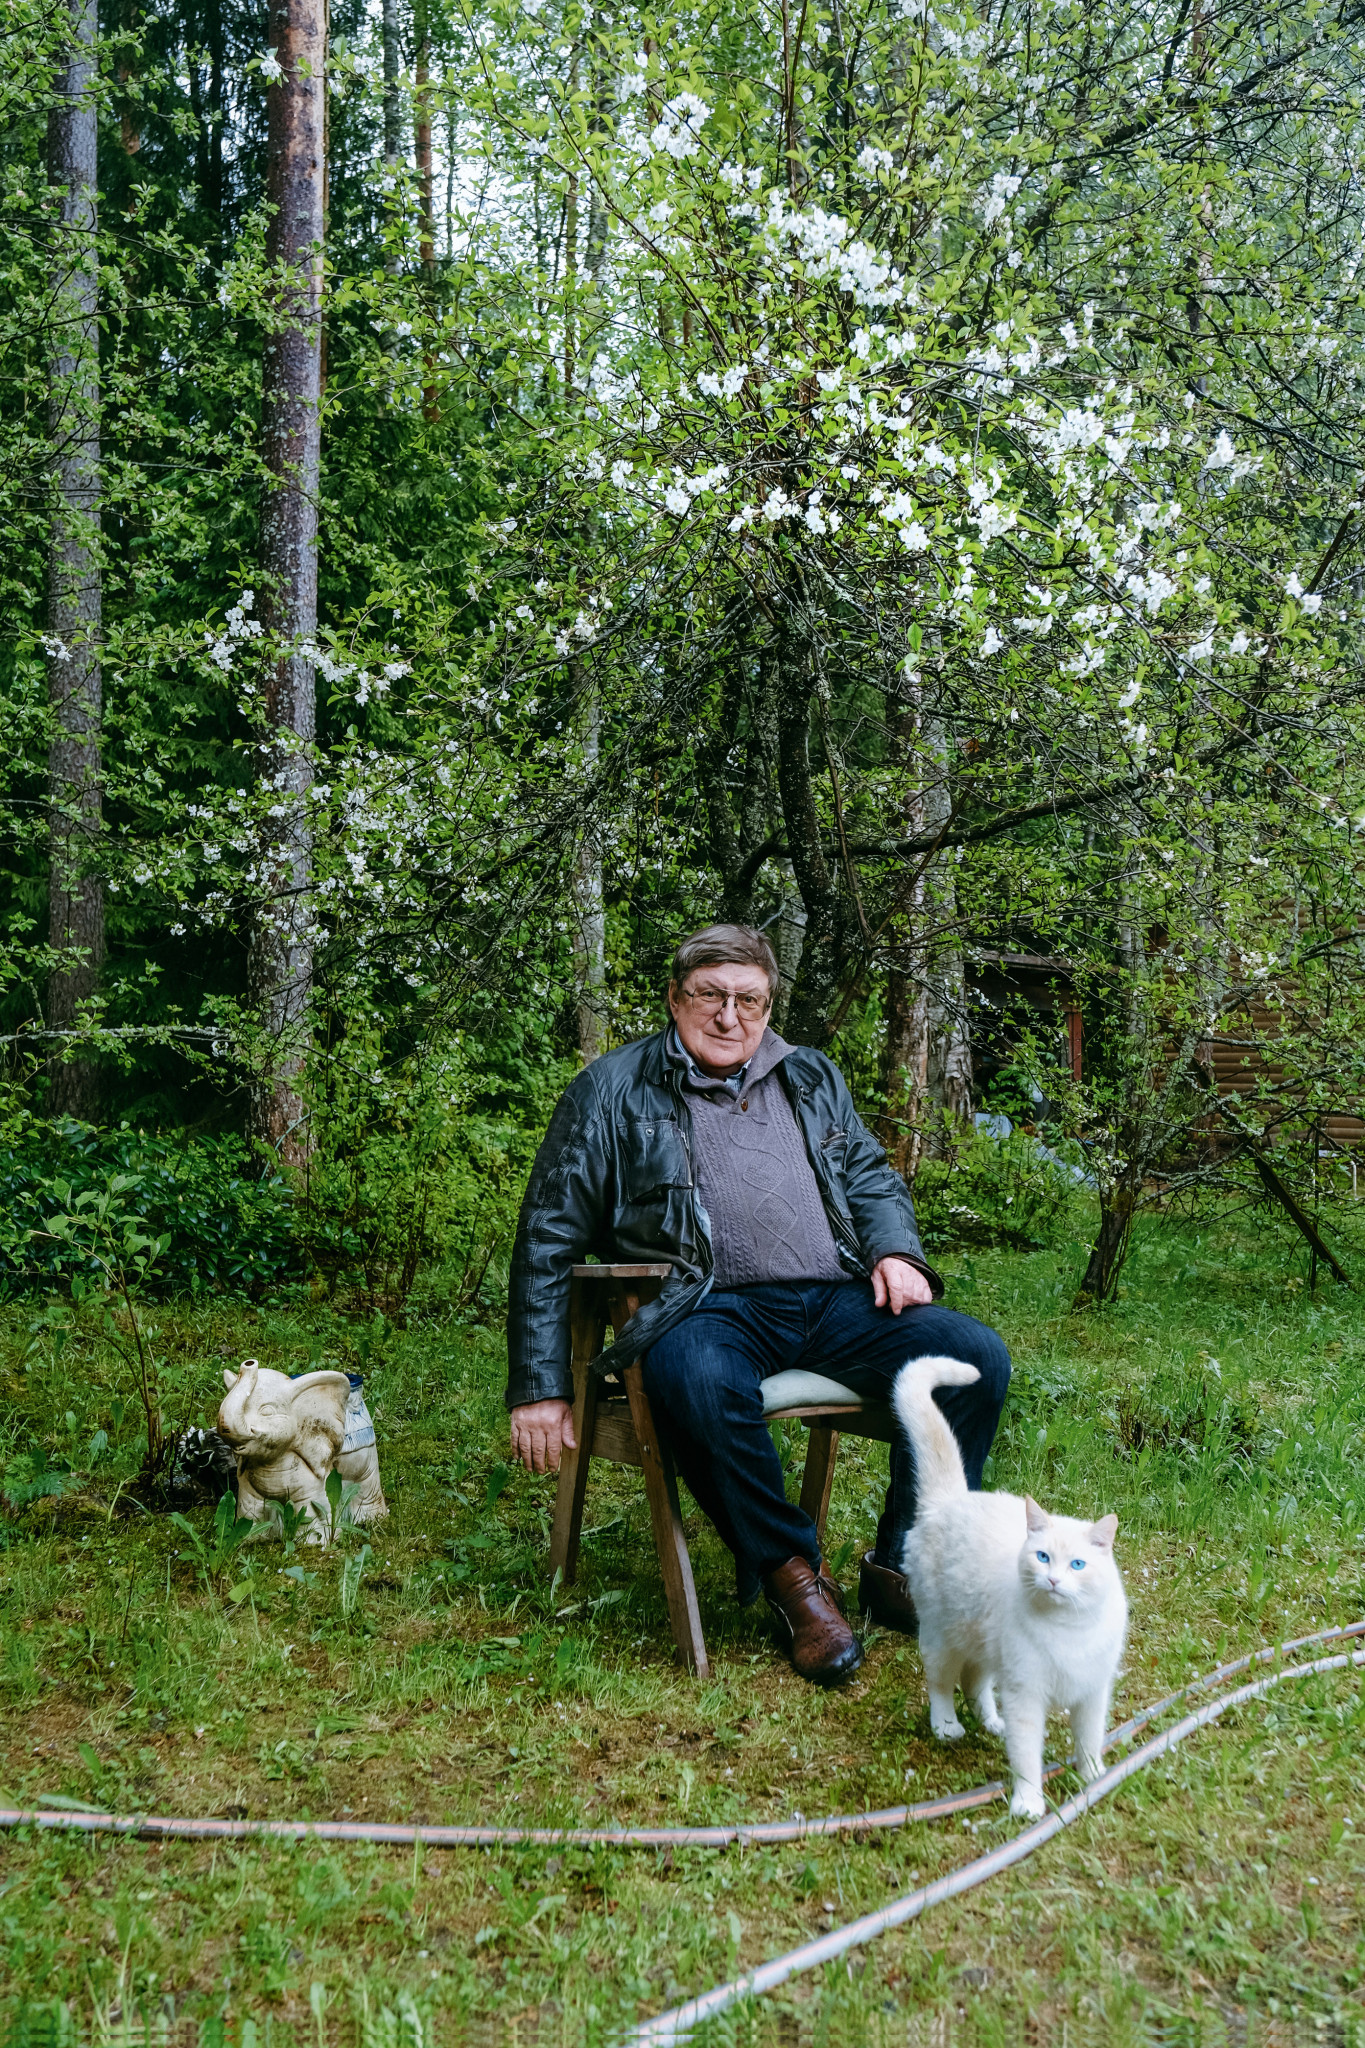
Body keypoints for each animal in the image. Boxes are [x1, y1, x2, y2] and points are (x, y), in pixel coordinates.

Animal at [893, 1355, 1128, 1819]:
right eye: (1042, 1557)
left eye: (1077, 1564)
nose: (1053, 1580)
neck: (1069, 1631)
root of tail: (951, 1500)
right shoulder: (1026, 1697)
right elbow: (1026, 1757)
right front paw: (1028, 1804)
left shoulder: (1093, 1695)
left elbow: (1089, 1741)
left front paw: (1092, 1781)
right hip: (942, 1639)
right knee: (942, 1686)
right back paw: (947, 1727)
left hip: (983, 1644)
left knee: (976, 1684)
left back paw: (989, 1722)